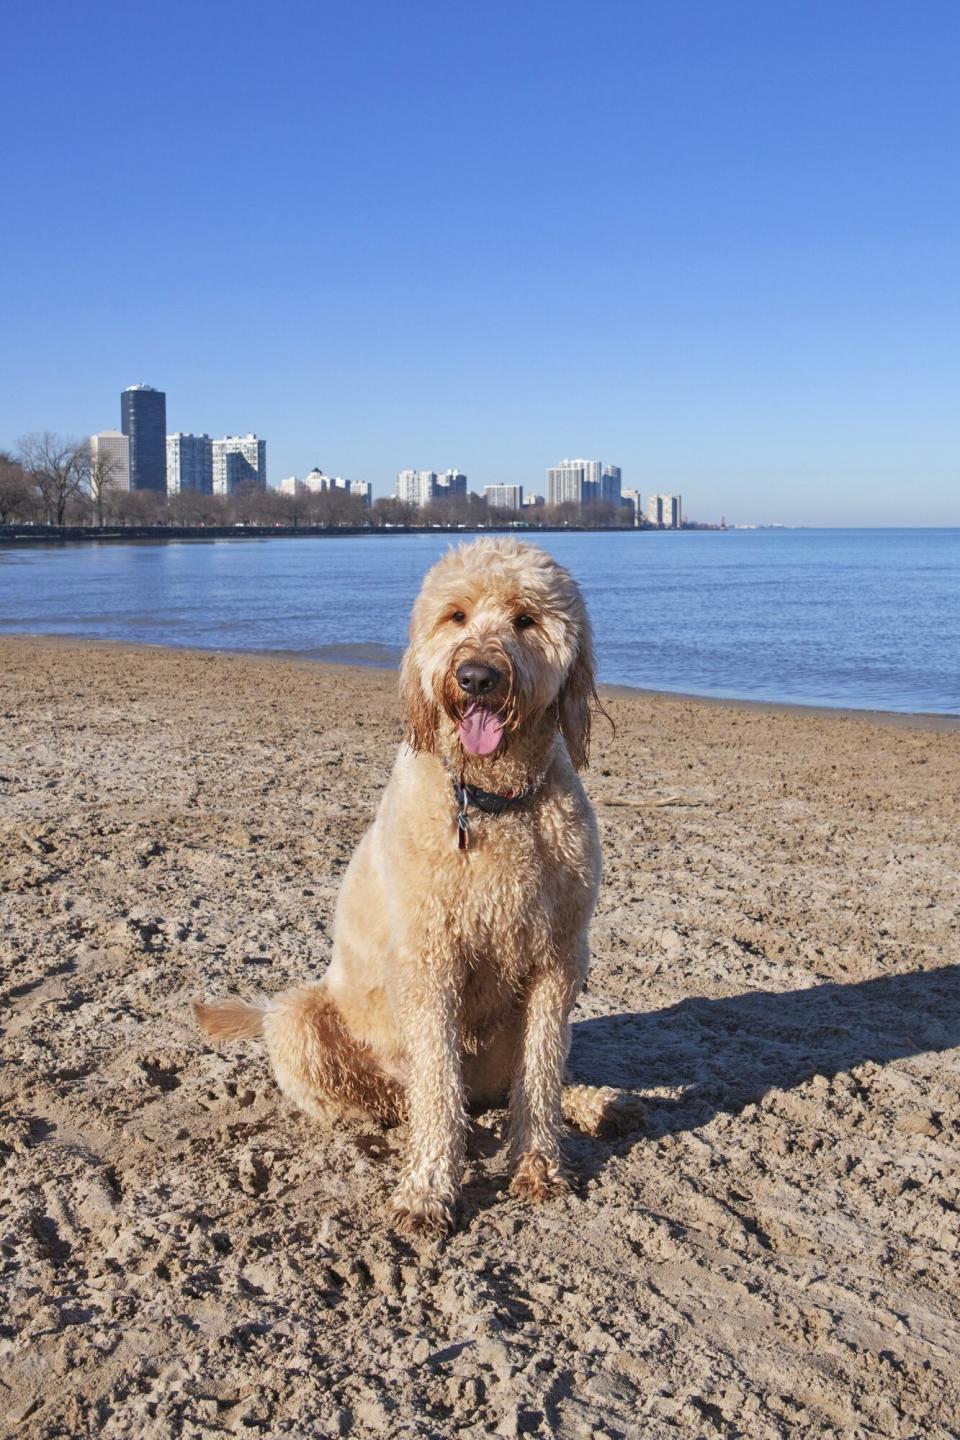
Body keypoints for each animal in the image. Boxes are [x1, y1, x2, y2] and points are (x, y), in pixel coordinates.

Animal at [192, 535, 639, 1232]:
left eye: (526, 619)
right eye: (455, 616)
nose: (477, 676)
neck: (490, 802)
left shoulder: (558, 959)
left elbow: (540, 1073)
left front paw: (538, 1165)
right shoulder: (431, 963)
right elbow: (437, 1088)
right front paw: (428, 1187)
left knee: (512, 1087)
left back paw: (594, 1102)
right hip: (300, 1022)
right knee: (403, 1097)